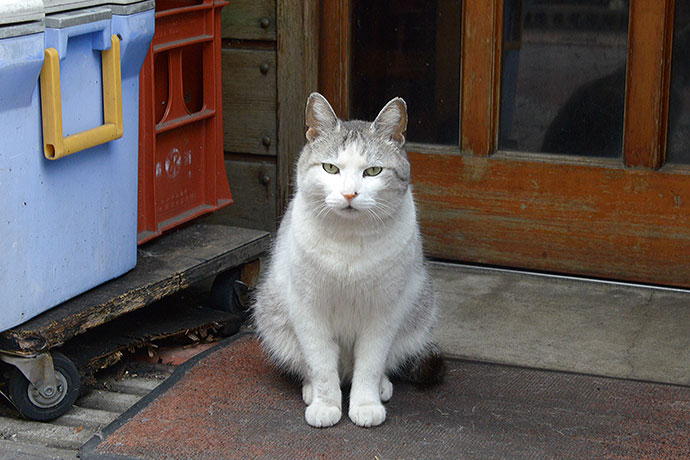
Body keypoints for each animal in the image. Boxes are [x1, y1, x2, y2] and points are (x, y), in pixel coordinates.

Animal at [250, 92, 444, 428]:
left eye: (373, 171)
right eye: (330, 168)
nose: (350, 194)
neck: (349, 242)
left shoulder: (383, 312)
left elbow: (370, 365)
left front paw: (365, 404)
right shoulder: (309, 309)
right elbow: (321, 365)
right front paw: (326, 405)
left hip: (419, 312)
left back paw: (381, 387)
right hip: (273, 315)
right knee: (311, 367)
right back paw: (311, 390)